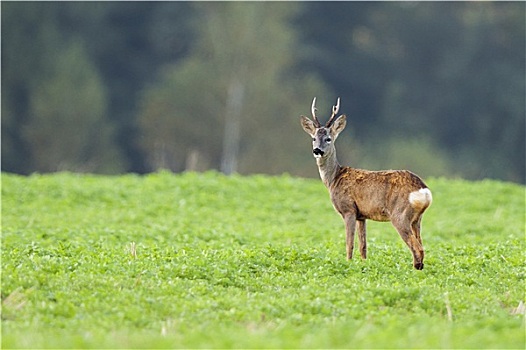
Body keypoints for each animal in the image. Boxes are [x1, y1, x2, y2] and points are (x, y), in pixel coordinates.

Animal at [302, 97, 434, 270]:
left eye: (328, 139)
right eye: (313, 138)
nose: (317, 150)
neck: (334, 178)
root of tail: (423, 190)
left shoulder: (348, 209)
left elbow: (349, 243)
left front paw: (348, 263)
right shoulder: (362, 216)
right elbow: (363, 246)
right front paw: (364, 265)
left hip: (400, 215)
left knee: (418, 247)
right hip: (417, 219)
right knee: (420, 244)